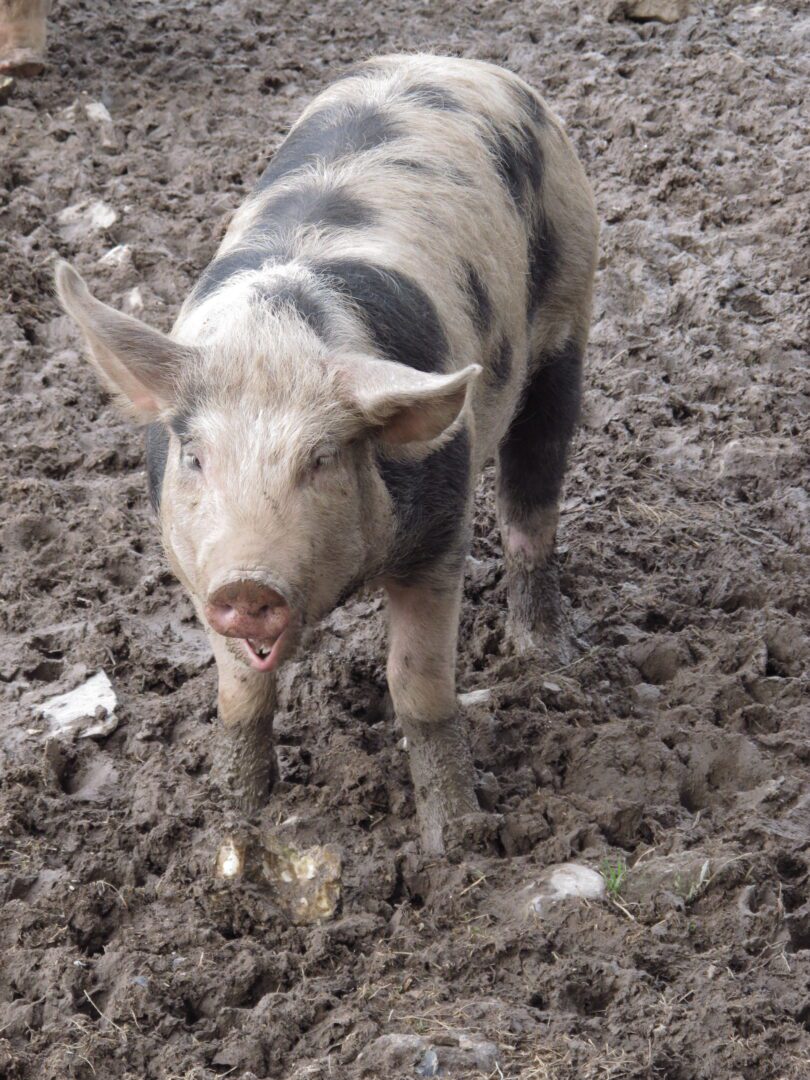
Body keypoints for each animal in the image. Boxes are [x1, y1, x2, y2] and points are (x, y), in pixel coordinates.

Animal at [57, 54, 600, 855]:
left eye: (320, 459)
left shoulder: (442, 531)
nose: (248, 582)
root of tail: (453, 61)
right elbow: (240, 691)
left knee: (533, 505)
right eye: (195, 456)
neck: (276, 334)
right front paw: (236, 806)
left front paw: (458, 840)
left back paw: (547, 659)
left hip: (570, 304)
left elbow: (418, 684)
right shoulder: (192, 563)